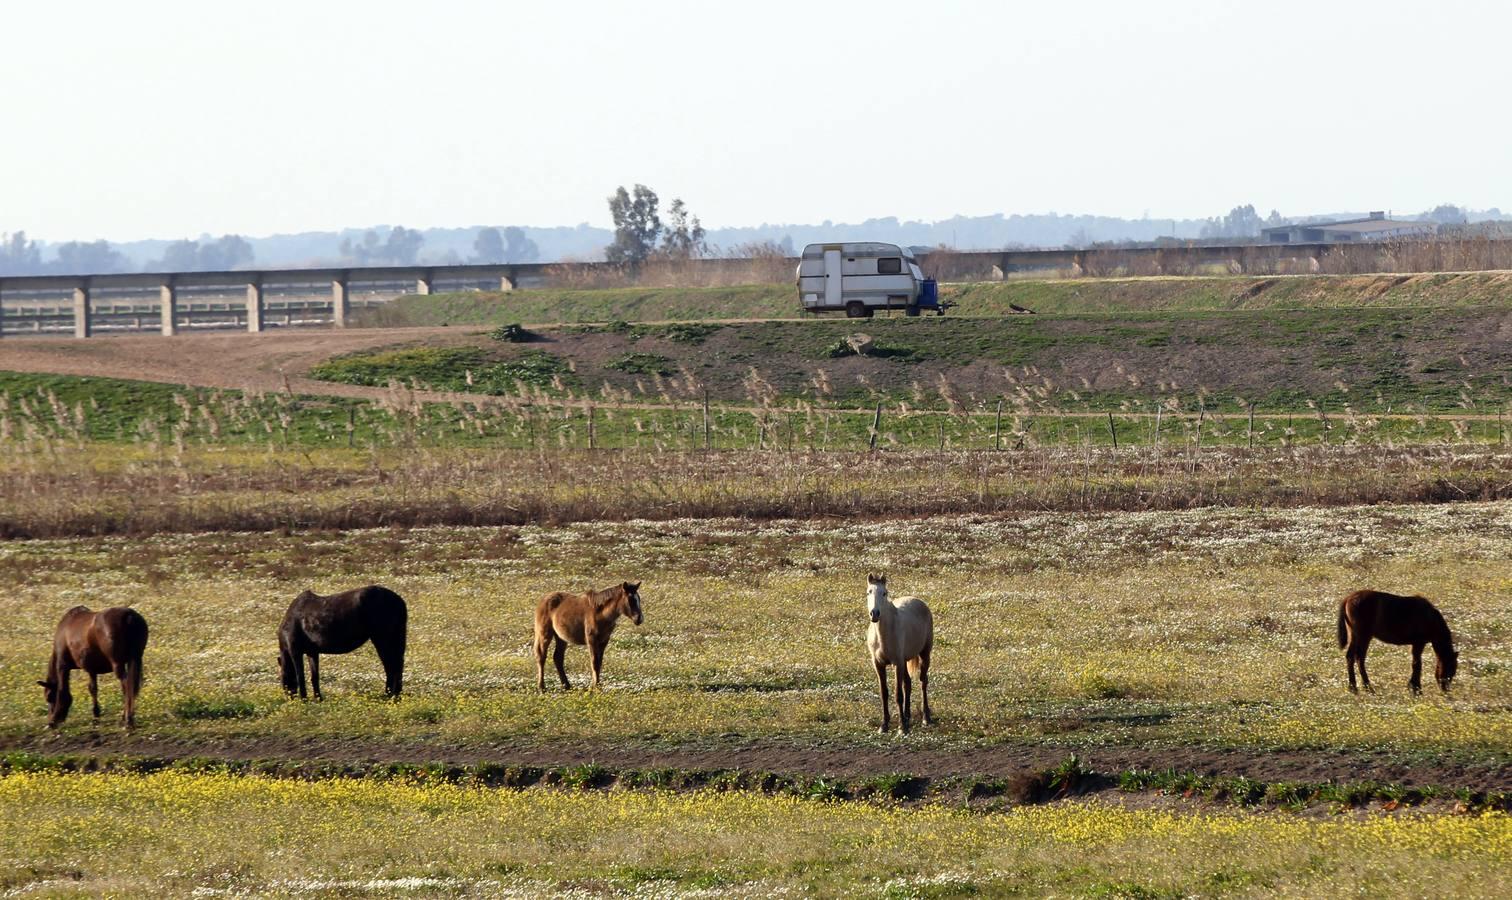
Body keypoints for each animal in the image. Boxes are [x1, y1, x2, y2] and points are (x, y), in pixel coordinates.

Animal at [278, 586, 408, 701]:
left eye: (282, 677)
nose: (289, 697)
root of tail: (400, 602)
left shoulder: (295, 651)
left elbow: (300, 676)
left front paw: (304, 699)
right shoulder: (312, 652)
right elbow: (314, 677)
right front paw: (318, 698)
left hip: (382, 638)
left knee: (391, 666)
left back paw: (389, 695)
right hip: (396, 638)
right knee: (397, 665)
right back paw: (396, 696)